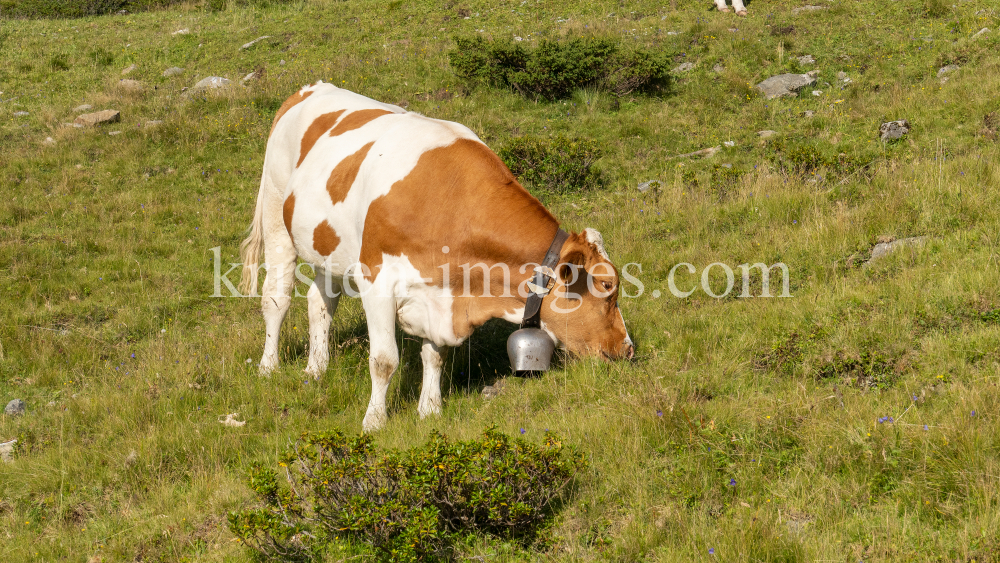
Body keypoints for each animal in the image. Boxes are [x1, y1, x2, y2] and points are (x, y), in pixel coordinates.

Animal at [239, 81, 632, 432]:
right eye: (607, 285)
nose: (626, 349)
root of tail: (308, 89)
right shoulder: (377, 280)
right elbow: (384, 360)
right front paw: (374, 421)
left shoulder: (440, 294)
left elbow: (435, 355)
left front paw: (429, 410)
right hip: (275, 213)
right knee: (276, 298)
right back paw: (268, 367)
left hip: (328, 246)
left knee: (320, 301)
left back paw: (316, 369)